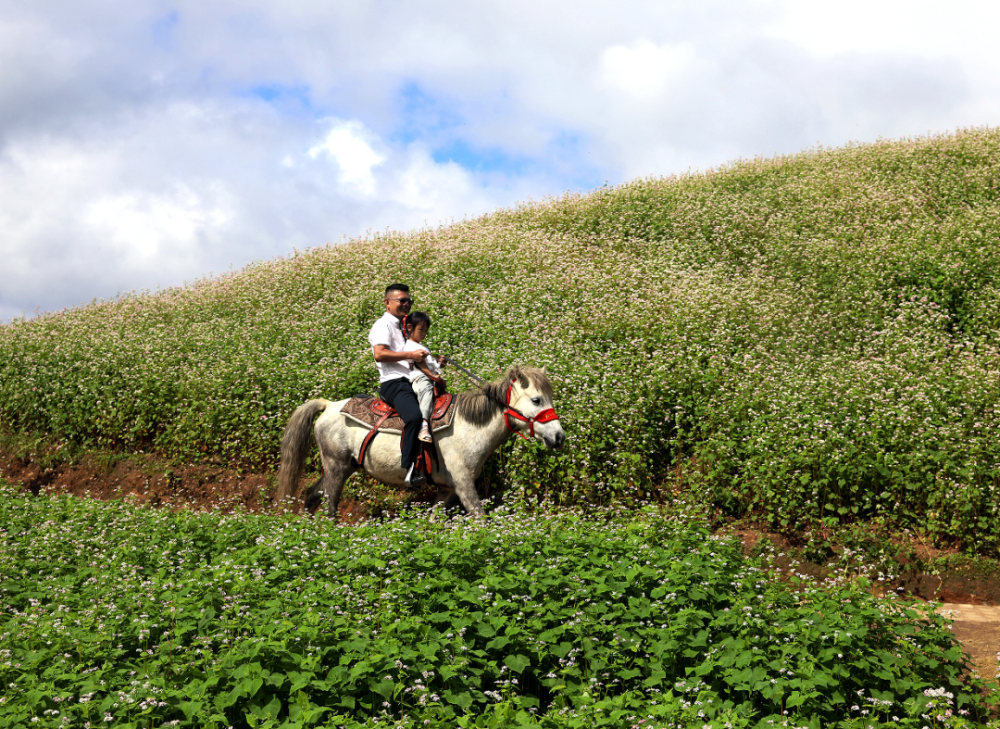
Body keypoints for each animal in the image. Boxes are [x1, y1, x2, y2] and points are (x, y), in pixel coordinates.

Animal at [278, 366, 568, 516]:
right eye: (536, 400)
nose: (559, 437)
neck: (469, 427)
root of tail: (328, 405)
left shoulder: (446, 490)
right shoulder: (463, 485)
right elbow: (479, 519)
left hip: (342, 467)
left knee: (311, 494)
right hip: (336, 468)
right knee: (329, 505)